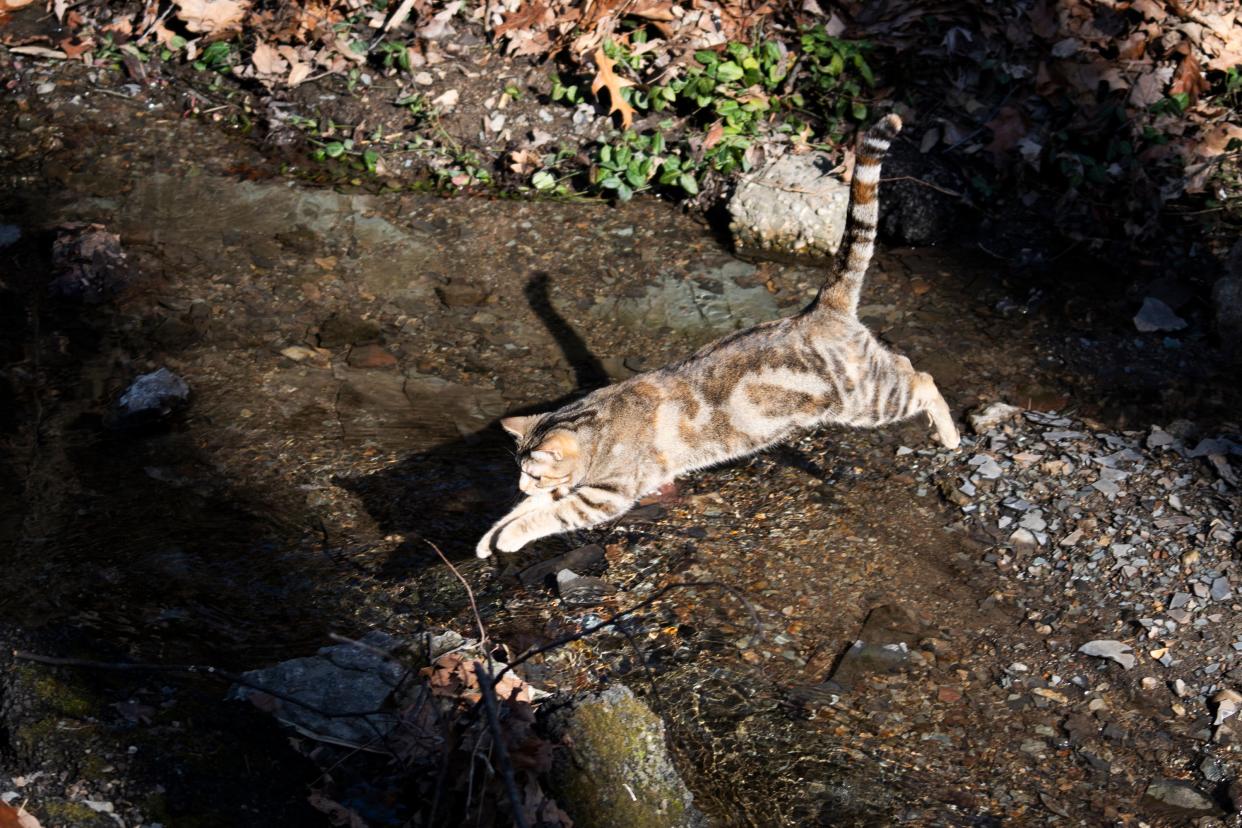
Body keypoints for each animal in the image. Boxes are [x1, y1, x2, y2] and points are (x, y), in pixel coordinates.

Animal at [474, 113, 958, 561]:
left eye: (534, 473)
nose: (522, 483)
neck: (599, 422)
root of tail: (821, 307)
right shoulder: (575, 483)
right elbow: (521, 511)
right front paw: (489, 537)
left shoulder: (606, 493)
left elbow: (546, 515)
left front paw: (512, 536)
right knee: (909, 366)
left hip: (868, 400)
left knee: (923, 379)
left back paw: (949, 436)